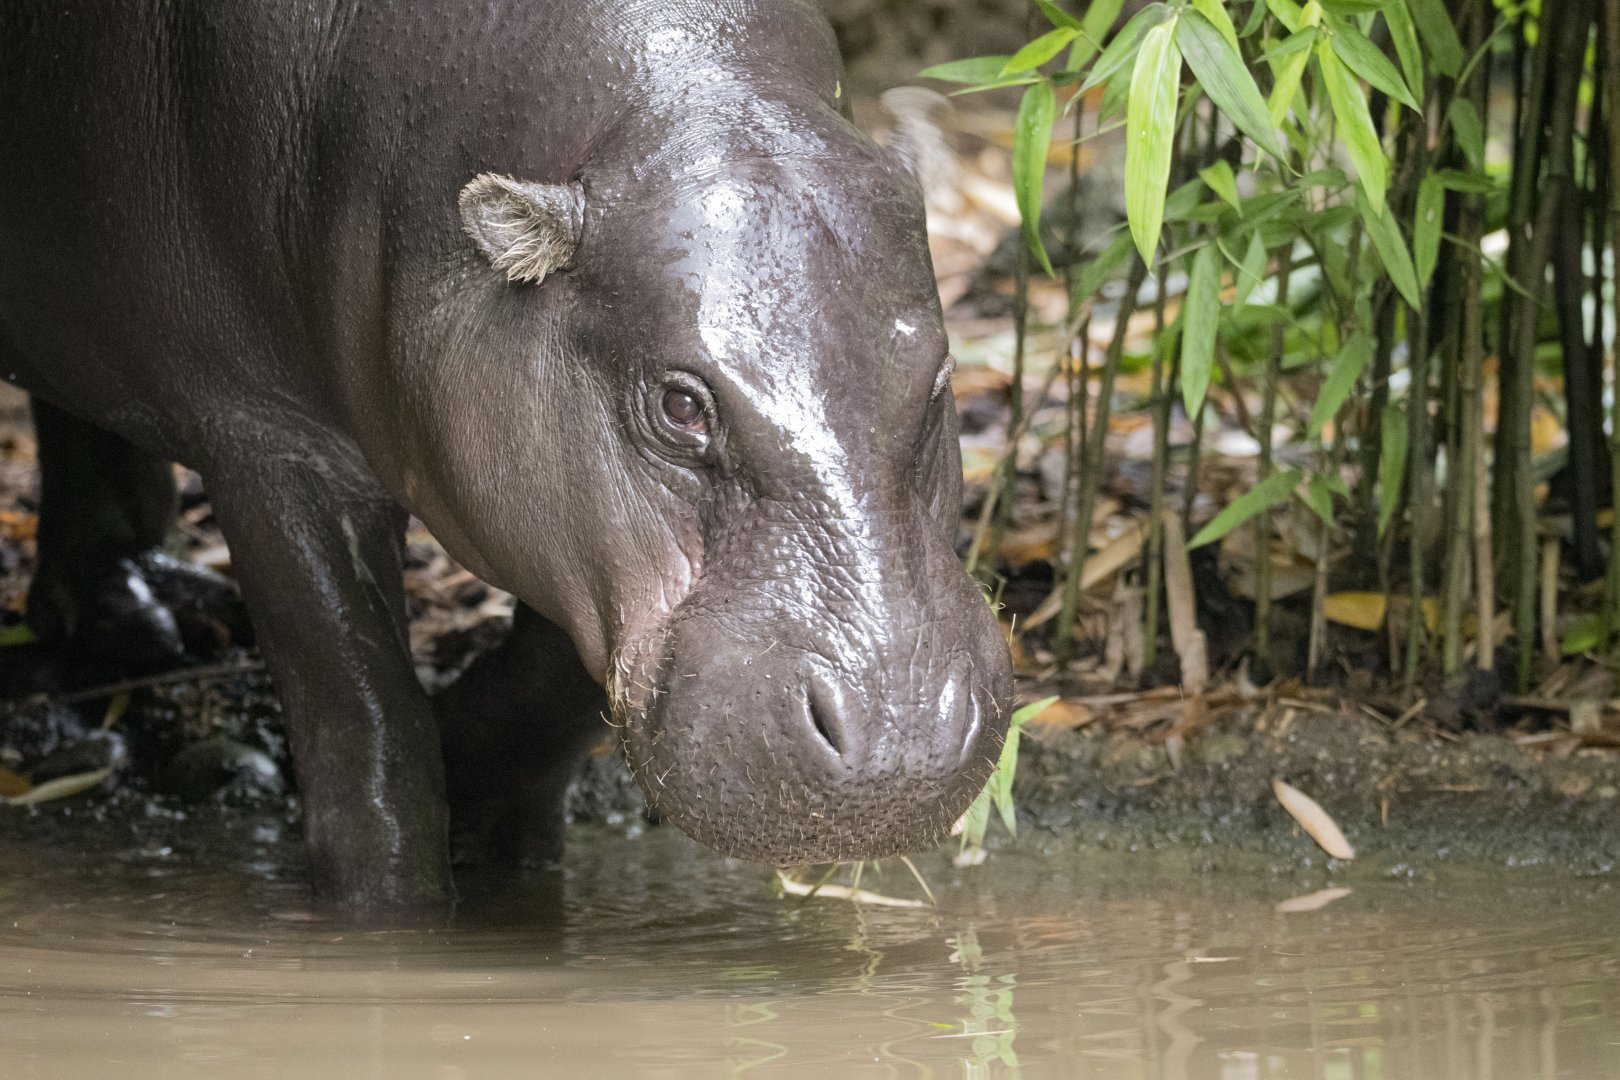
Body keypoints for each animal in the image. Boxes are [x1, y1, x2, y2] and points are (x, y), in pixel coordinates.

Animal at [0, 0, 1013, 913]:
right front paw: (394, 918)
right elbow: (360, 708)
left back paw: (143, 617)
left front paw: (485, 810)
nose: (900, 741)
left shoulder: (563, 504)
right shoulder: (265, 431)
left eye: (939, 374)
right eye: (680, 405)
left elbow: (555, 684)